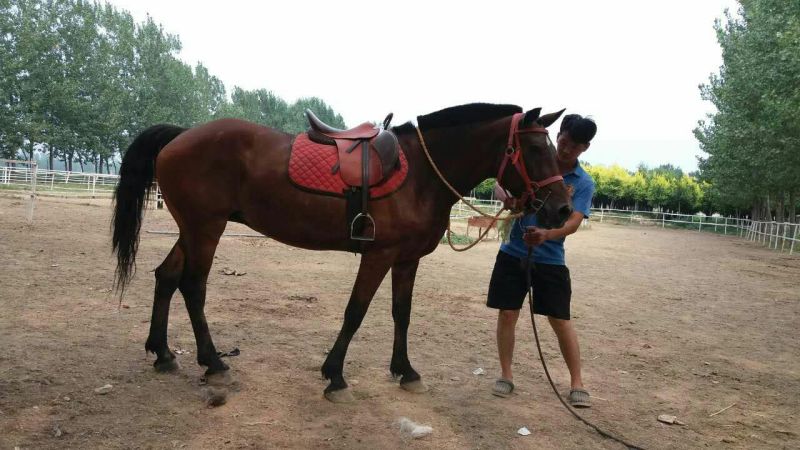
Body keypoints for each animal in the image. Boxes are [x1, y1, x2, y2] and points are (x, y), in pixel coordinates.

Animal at [111, 103, 573, 402]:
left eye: (553, 149)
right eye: (535, 149)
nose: (563, 210)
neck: (422, 174)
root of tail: (180, 135)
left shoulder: (407, 259)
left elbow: (401, 314)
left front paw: (405, 371)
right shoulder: (378, 255)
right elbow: (356, 312)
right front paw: (335, 376)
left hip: (193, 228)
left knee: (166, 277)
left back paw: (163, 354)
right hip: (206, 228)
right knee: (193, 286)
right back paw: (213, 363)